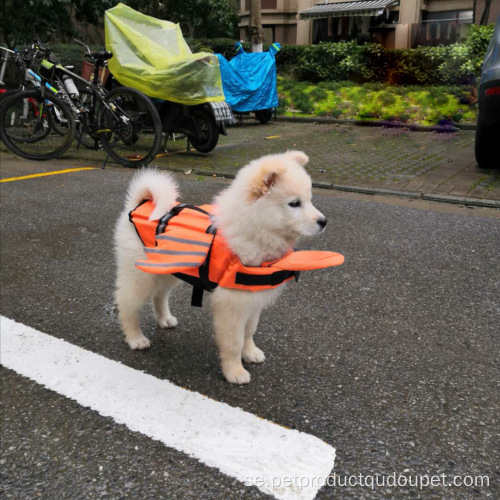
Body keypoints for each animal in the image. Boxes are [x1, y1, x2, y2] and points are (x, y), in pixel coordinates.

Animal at [115, 150, 330, 384]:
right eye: (294, 203)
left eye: (309, 199)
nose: (324, 221)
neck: (255, 230)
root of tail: (140, 203)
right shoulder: (231, 304)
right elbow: (234, 341)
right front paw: (235, 371)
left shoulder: (253, 298)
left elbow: (249, 331)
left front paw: (250, 352)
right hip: (140, 277)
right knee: (127, 304)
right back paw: (135, 338)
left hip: (168, 269)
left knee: (159, 295)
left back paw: (164, 319)